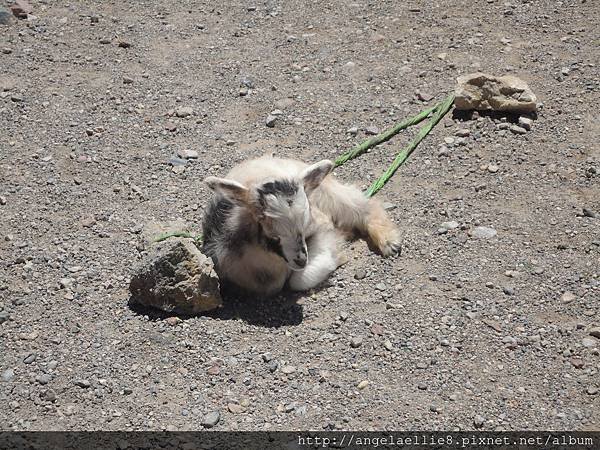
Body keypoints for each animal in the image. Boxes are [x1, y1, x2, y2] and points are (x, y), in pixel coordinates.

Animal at [200, 156, 398, 298]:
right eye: (269, 228)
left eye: (304, 225)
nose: (301, 260)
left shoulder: (321, 225)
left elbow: (298, 281)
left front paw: (339, 257)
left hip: (329, 194)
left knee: (363, 205)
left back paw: (390, 242)